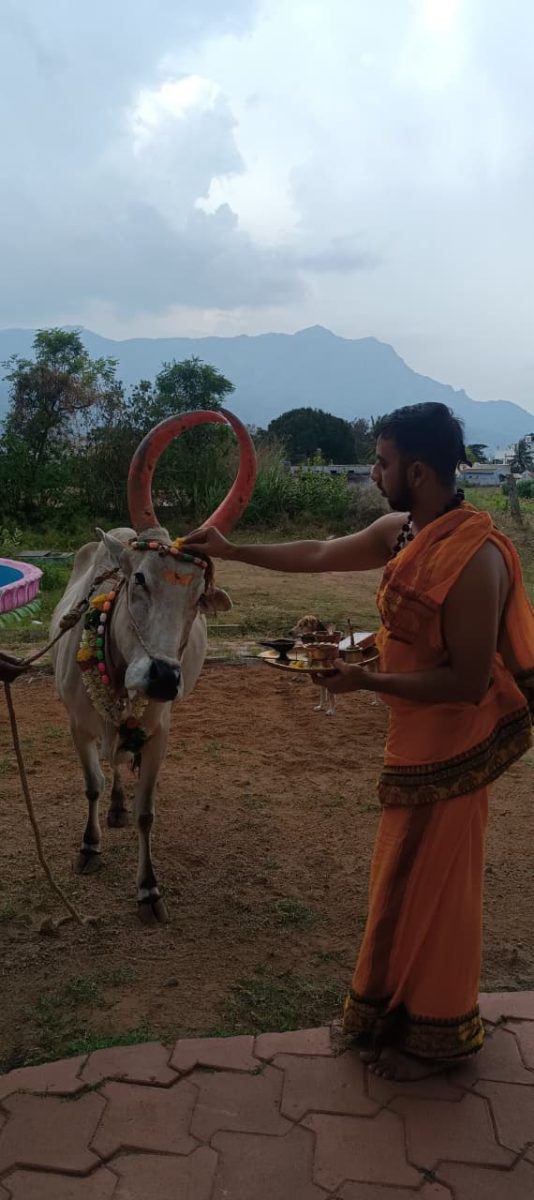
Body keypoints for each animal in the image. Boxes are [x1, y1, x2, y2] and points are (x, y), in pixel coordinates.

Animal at [50, 409, 256, 923]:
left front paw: (148, 889)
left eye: (199, 597)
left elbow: (147, 812)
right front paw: (89, 848)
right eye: (139, 579)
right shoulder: (76, 727)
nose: (163, 677)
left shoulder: (160, 732)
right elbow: (91, 785)